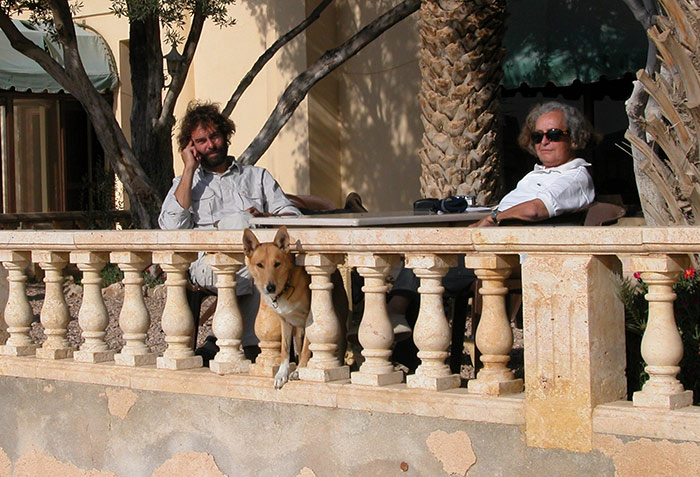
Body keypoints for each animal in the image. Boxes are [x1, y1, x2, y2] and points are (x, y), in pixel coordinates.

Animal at [243, 226, 348, 386]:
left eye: (277, 264)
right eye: (260, 265)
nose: (270, 288)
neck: (286, 287)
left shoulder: (310, 320)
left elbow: (306, 350)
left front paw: (299, 371)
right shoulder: (285, 321)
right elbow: (285, 350)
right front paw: (281, 374)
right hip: (298, 332)